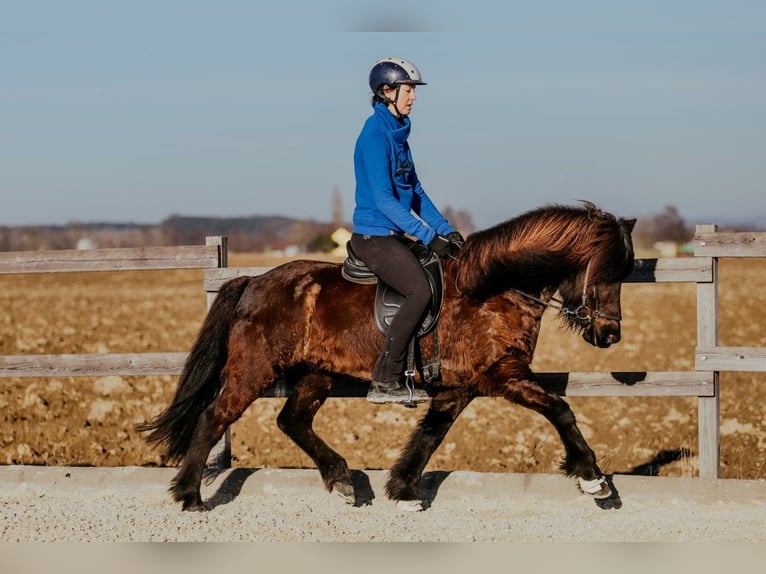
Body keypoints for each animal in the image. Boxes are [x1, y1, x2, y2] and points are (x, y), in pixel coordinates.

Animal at [137, 201, 636, 511]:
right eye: (608, 271)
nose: (610, 333)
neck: (492, 288)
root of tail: (253, 282)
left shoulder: (459, 387)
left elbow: (430, 436)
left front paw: (403, 488)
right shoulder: (502, 373)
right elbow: (560, 409)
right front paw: (593, 479)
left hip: (317, 373)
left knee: (292, 420)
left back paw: (341, 478)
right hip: (253, 370)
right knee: (214, 417)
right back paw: (189, 496)